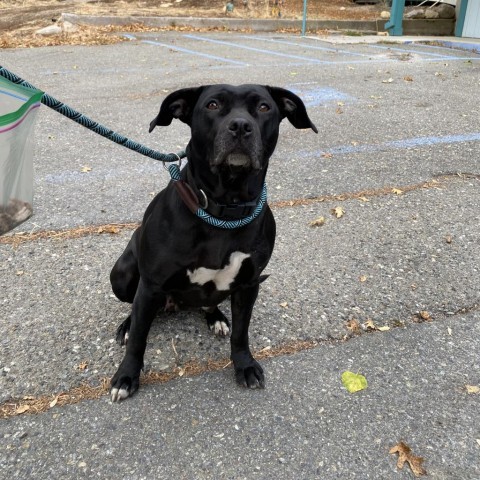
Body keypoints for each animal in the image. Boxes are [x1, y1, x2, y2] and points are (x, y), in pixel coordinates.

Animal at [110, 83, 316, 402]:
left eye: (264, 107)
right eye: (213, 105)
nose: (241, 126)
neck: (223, 209)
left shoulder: (248, 284)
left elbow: (241, 332)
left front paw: (244, 365)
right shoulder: (152, 284)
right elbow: (139, 340)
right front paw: (126, 375)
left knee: (209, 304)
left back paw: (216, 317)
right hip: (123, 274)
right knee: (135, 309)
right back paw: (128, 325)